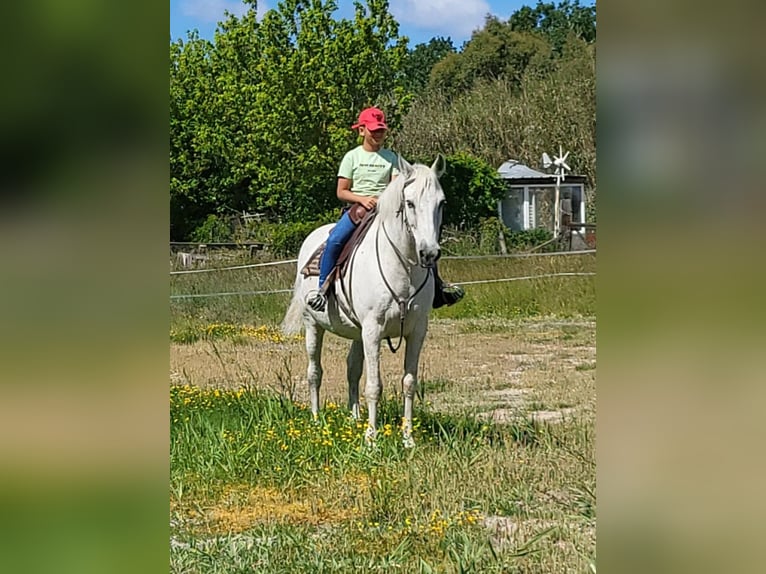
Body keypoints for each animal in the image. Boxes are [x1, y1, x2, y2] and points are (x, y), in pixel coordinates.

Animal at [281, 154, 446, 446]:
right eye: (410, 202)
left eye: (441, 202)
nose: (429, 253)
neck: (402, 269)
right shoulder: (373, 330)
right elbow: (374, 385)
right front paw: (372, 439)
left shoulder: (417, 331)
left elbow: (409, 382)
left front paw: (408, 439)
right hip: (313, 325)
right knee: (314, 372)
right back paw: (316, 421)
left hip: (357, 334)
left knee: (352, 369)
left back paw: (354, 419)